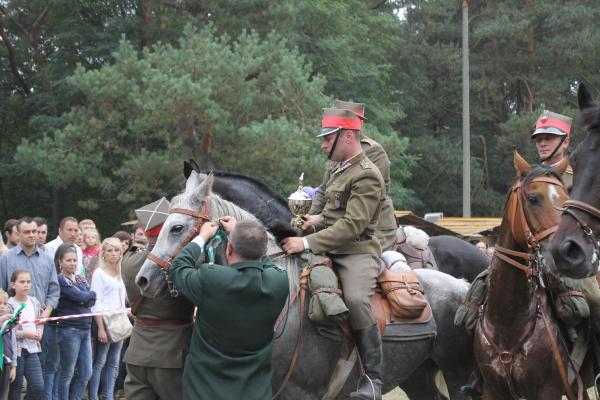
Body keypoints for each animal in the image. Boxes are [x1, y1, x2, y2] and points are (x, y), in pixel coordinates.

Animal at [135, 173, 474, 400]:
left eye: (177, 227)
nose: (143, 279)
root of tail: (464, 288)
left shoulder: (300, 393)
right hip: (419, 376)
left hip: (458, 375)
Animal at [474, 152, 572, 398]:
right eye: (533, 199)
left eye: (566, 201)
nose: (564, 252)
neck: (507, 322)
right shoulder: (492, 389)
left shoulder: (549, 390)